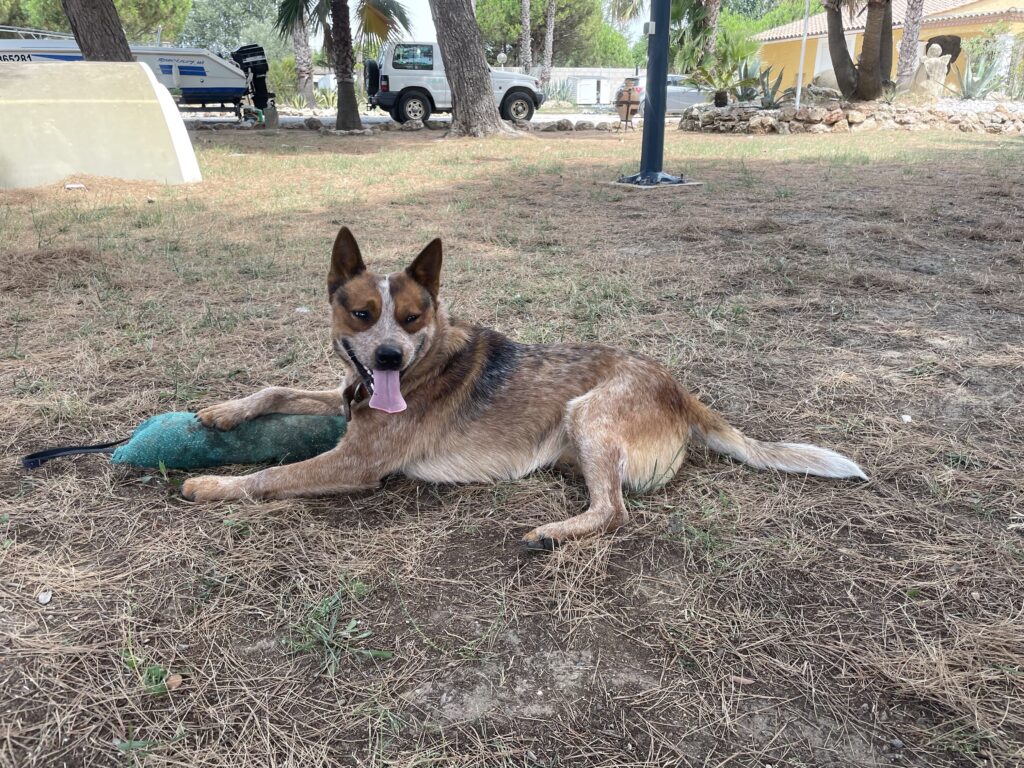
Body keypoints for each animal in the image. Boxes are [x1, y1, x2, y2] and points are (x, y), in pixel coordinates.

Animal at [182, 227, 866, 549]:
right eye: (361, 313)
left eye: (411, 317)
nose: (388, 355)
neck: (423, 362)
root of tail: (679, 388)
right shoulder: (349, 395)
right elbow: (277, 389)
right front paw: (223, 411)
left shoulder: (357, 463)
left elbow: (270, 476)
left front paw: (211, 484)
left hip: (589, 415)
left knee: (615, 510)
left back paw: (550, 534)